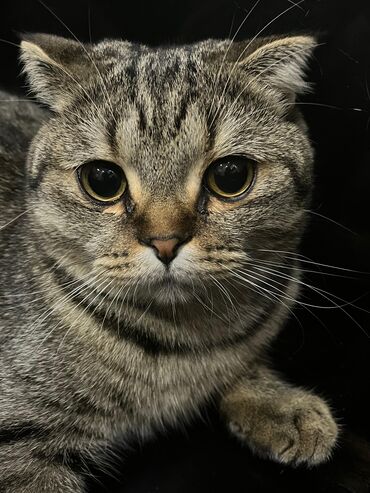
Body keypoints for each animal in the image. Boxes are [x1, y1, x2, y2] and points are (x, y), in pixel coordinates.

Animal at [0, 32, 338, 490]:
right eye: (102, 180)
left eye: (230, 176)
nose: (164, 242)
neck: (181, 345)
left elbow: (244, 365)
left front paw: (279, 402)